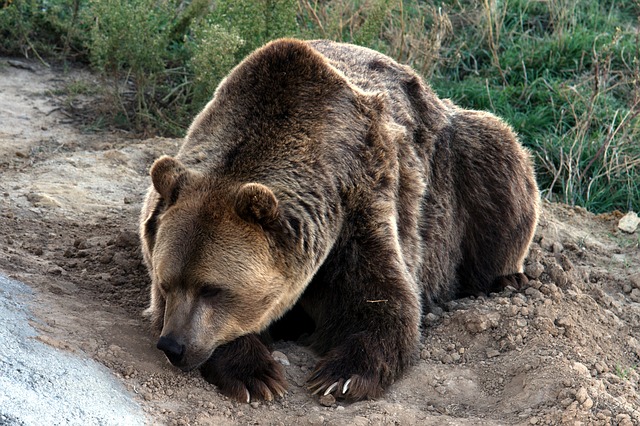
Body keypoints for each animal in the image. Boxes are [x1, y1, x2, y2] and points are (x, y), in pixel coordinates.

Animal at [139, 38, 540, 403]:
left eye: (213, 288)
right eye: (166, 282)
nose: (173, 346)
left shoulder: (360, 203)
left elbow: (382, 301)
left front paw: (340, 376)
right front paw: (255, 374)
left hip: (460, 163)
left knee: (500, 158)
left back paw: (508, 279)